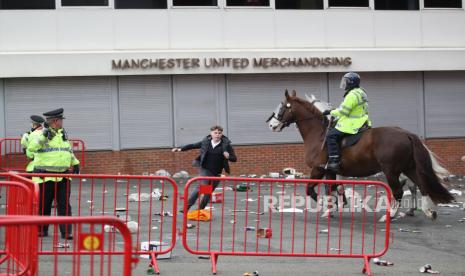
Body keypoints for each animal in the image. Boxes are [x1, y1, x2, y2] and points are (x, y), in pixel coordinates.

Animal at [268, 90, 454, 220]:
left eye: (283, 105)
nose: (271, 124)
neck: (319, 133)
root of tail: (406, 133)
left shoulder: (318, 169)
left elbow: (311, 190)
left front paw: (325, 205)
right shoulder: (330, 171)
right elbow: (332, 189)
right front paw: (332, 208)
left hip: (392, 171)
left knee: (399, 191)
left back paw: (390, 215)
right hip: (409, 168)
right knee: (421, 186)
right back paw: (428, 212)